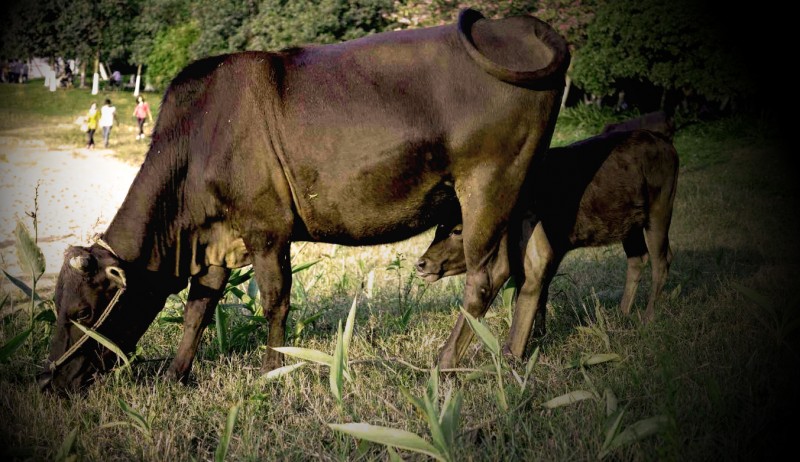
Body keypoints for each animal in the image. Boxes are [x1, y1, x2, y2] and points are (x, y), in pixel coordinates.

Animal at [40, 9, 572, 394]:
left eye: (82, 313)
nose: (51, 382)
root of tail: (516, 24)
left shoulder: (266, 227)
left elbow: (275, 301)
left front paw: (272, 373)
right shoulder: (216, 239)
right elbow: (198, 307)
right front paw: (175, 374)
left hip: (488, 183)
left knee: (486, 276)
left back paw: (443, 365)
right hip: (524, 182)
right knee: (535, 263)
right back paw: (513, 353)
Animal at [416, 130, 680, 358]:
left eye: (458, 230)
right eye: (437, 229)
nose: (421, 263)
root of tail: (664, 142)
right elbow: (541, 290)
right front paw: (539, 335)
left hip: (660, 207)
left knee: (662, 260)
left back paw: (648, 317)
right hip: (631, 225)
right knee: (638, 258)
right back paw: (623, 313)